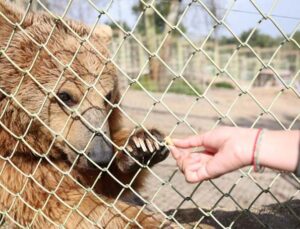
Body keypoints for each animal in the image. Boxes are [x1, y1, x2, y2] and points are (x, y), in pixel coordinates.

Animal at [0, 1, 170, 227]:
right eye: (65, 95)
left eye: (108, 96)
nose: (101, 156)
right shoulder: (18, 169)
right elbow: (61, 204)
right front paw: (148, 220)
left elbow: (104, 181)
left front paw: (143, 144)